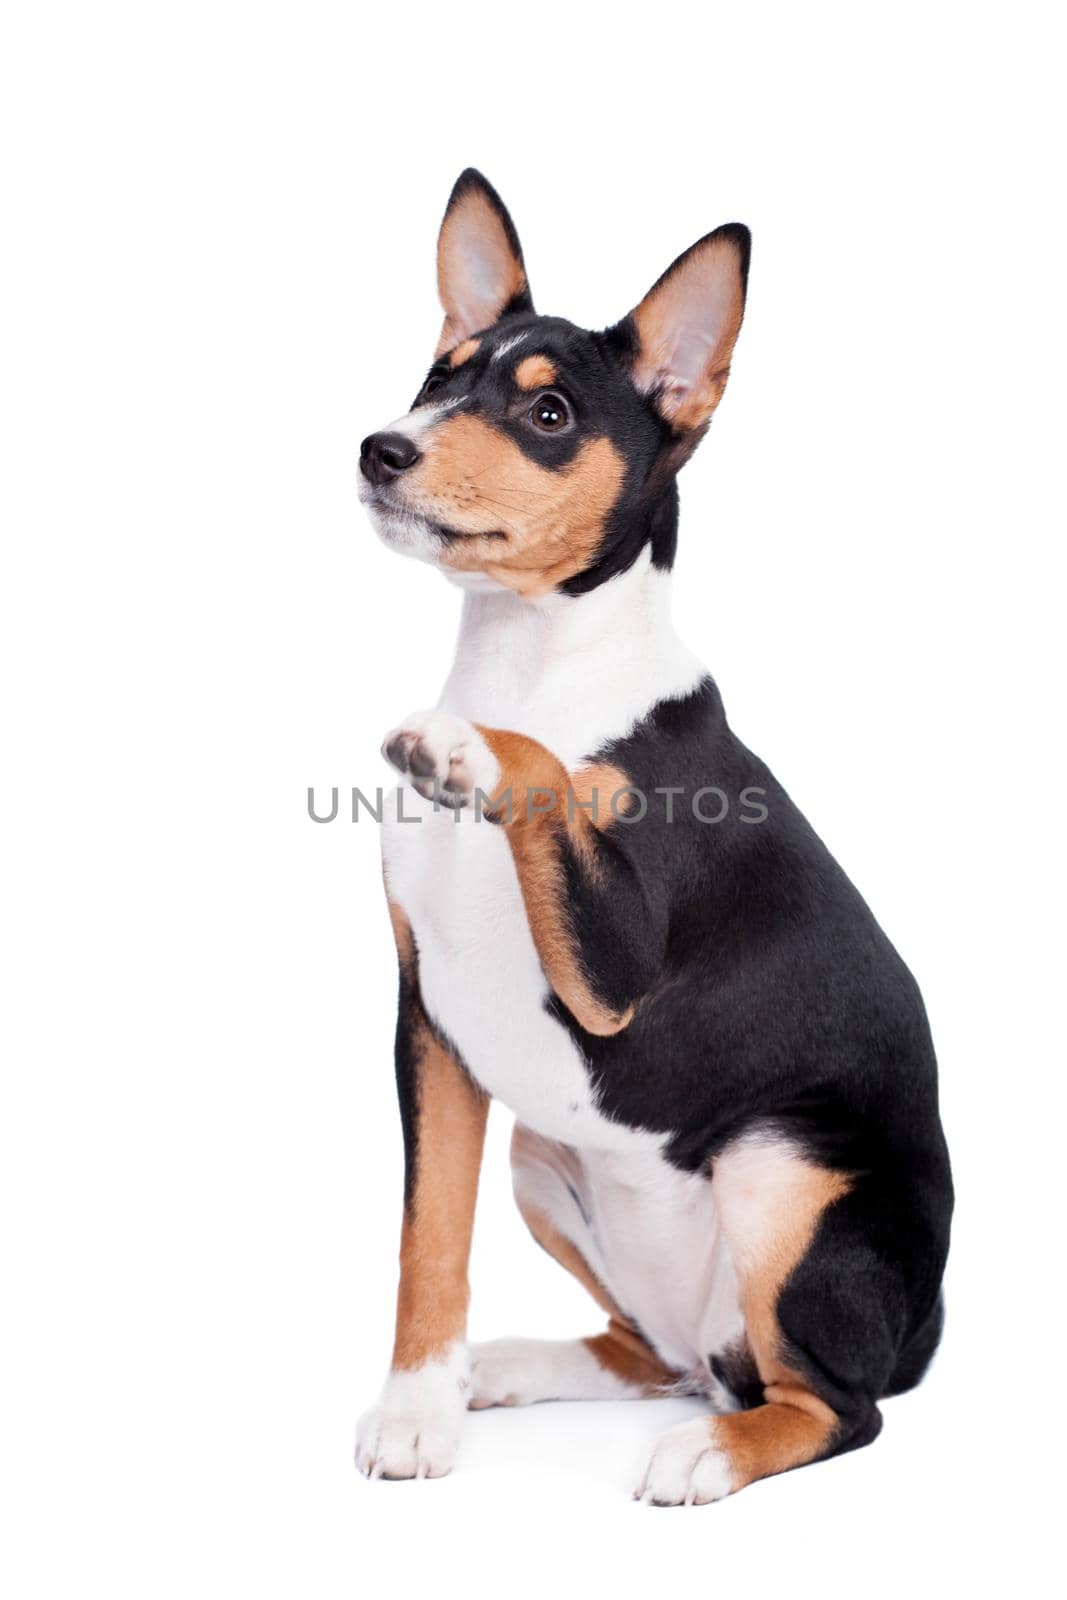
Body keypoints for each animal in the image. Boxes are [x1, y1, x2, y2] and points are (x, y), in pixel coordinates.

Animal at [355, 168, 953, 1504]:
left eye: (549, 413)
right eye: (437, 378)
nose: (380, 446)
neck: (531, 666)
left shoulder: (612, 975)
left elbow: (535, 771)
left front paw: (466, 746)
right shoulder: (432, 1025)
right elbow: (426, 1237)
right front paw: (419, 1410)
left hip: (777, 1168)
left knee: (835, 1407)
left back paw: (708, 1454)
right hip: (547, 1162)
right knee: (653, 1351)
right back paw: (512, 1365)